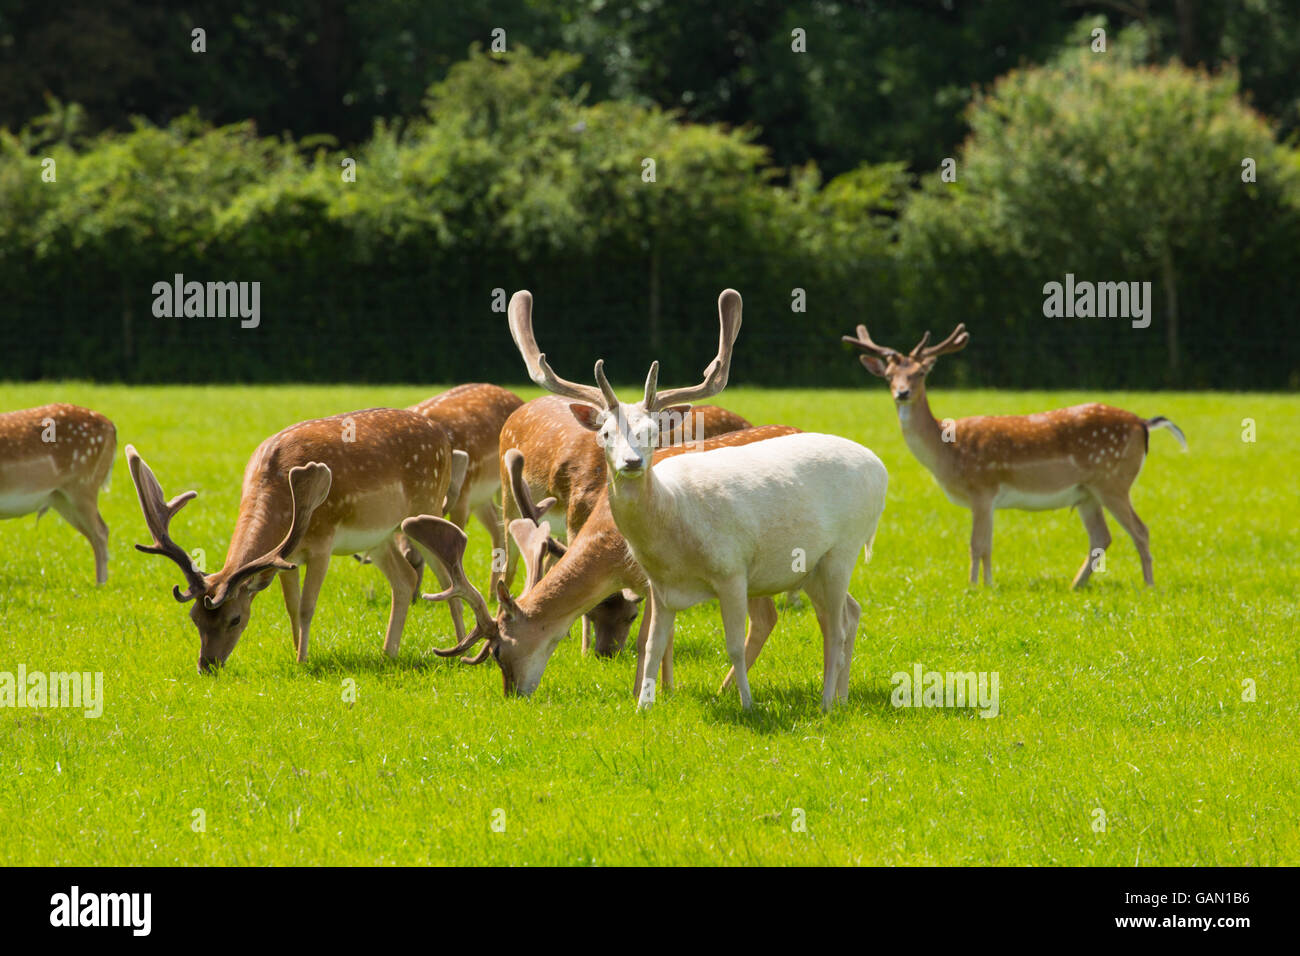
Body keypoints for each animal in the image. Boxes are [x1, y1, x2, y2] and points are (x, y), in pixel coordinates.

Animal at [0, 403, 116, 582]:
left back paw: (100, 585)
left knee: (101, 532)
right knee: (95, 533)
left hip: (84, 485)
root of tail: (112, 427)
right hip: (61, 498)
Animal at [125, 408, 467, 671]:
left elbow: (306, 606)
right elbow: (290, 606)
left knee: (446, 574)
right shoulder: (287, 558)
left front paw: (303, 660)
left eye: (235, 619)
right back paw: (388, 653)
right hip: (380, 537)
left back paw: (460, 648)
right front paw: (294, 651)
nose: (206, 666)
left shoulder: (322, 543)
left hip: (425, 507)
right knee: (405, 579)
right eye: (194, 618)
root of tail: (442, 436)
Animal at [400, 421, 795, 697]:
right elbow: (664, 638)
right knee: (766, 617)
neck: (613, 552)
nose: (512, 694)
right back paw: (725, 688)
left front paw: (642, 693)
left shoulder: (653, 578)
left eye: (497, 651)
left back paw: (728, 689)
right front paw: (667, 690)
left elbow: (647, 639)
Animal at [842, 325, 1190, 587]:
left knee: (1140, 530)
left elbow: (977, 545)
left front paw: (974, 587)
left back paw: (1148, 586)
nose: (902, 393)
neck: (947, 453)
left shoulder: (983, 487)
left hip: (1113, 481)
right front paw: (987, 585)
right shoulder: (988, 498)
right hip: (1087, 492)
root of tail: (1143, 423)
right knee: (1101, 537)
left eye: (920, 373)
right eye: (889, 375)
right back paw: (1075, 586)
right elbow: (987, 545)